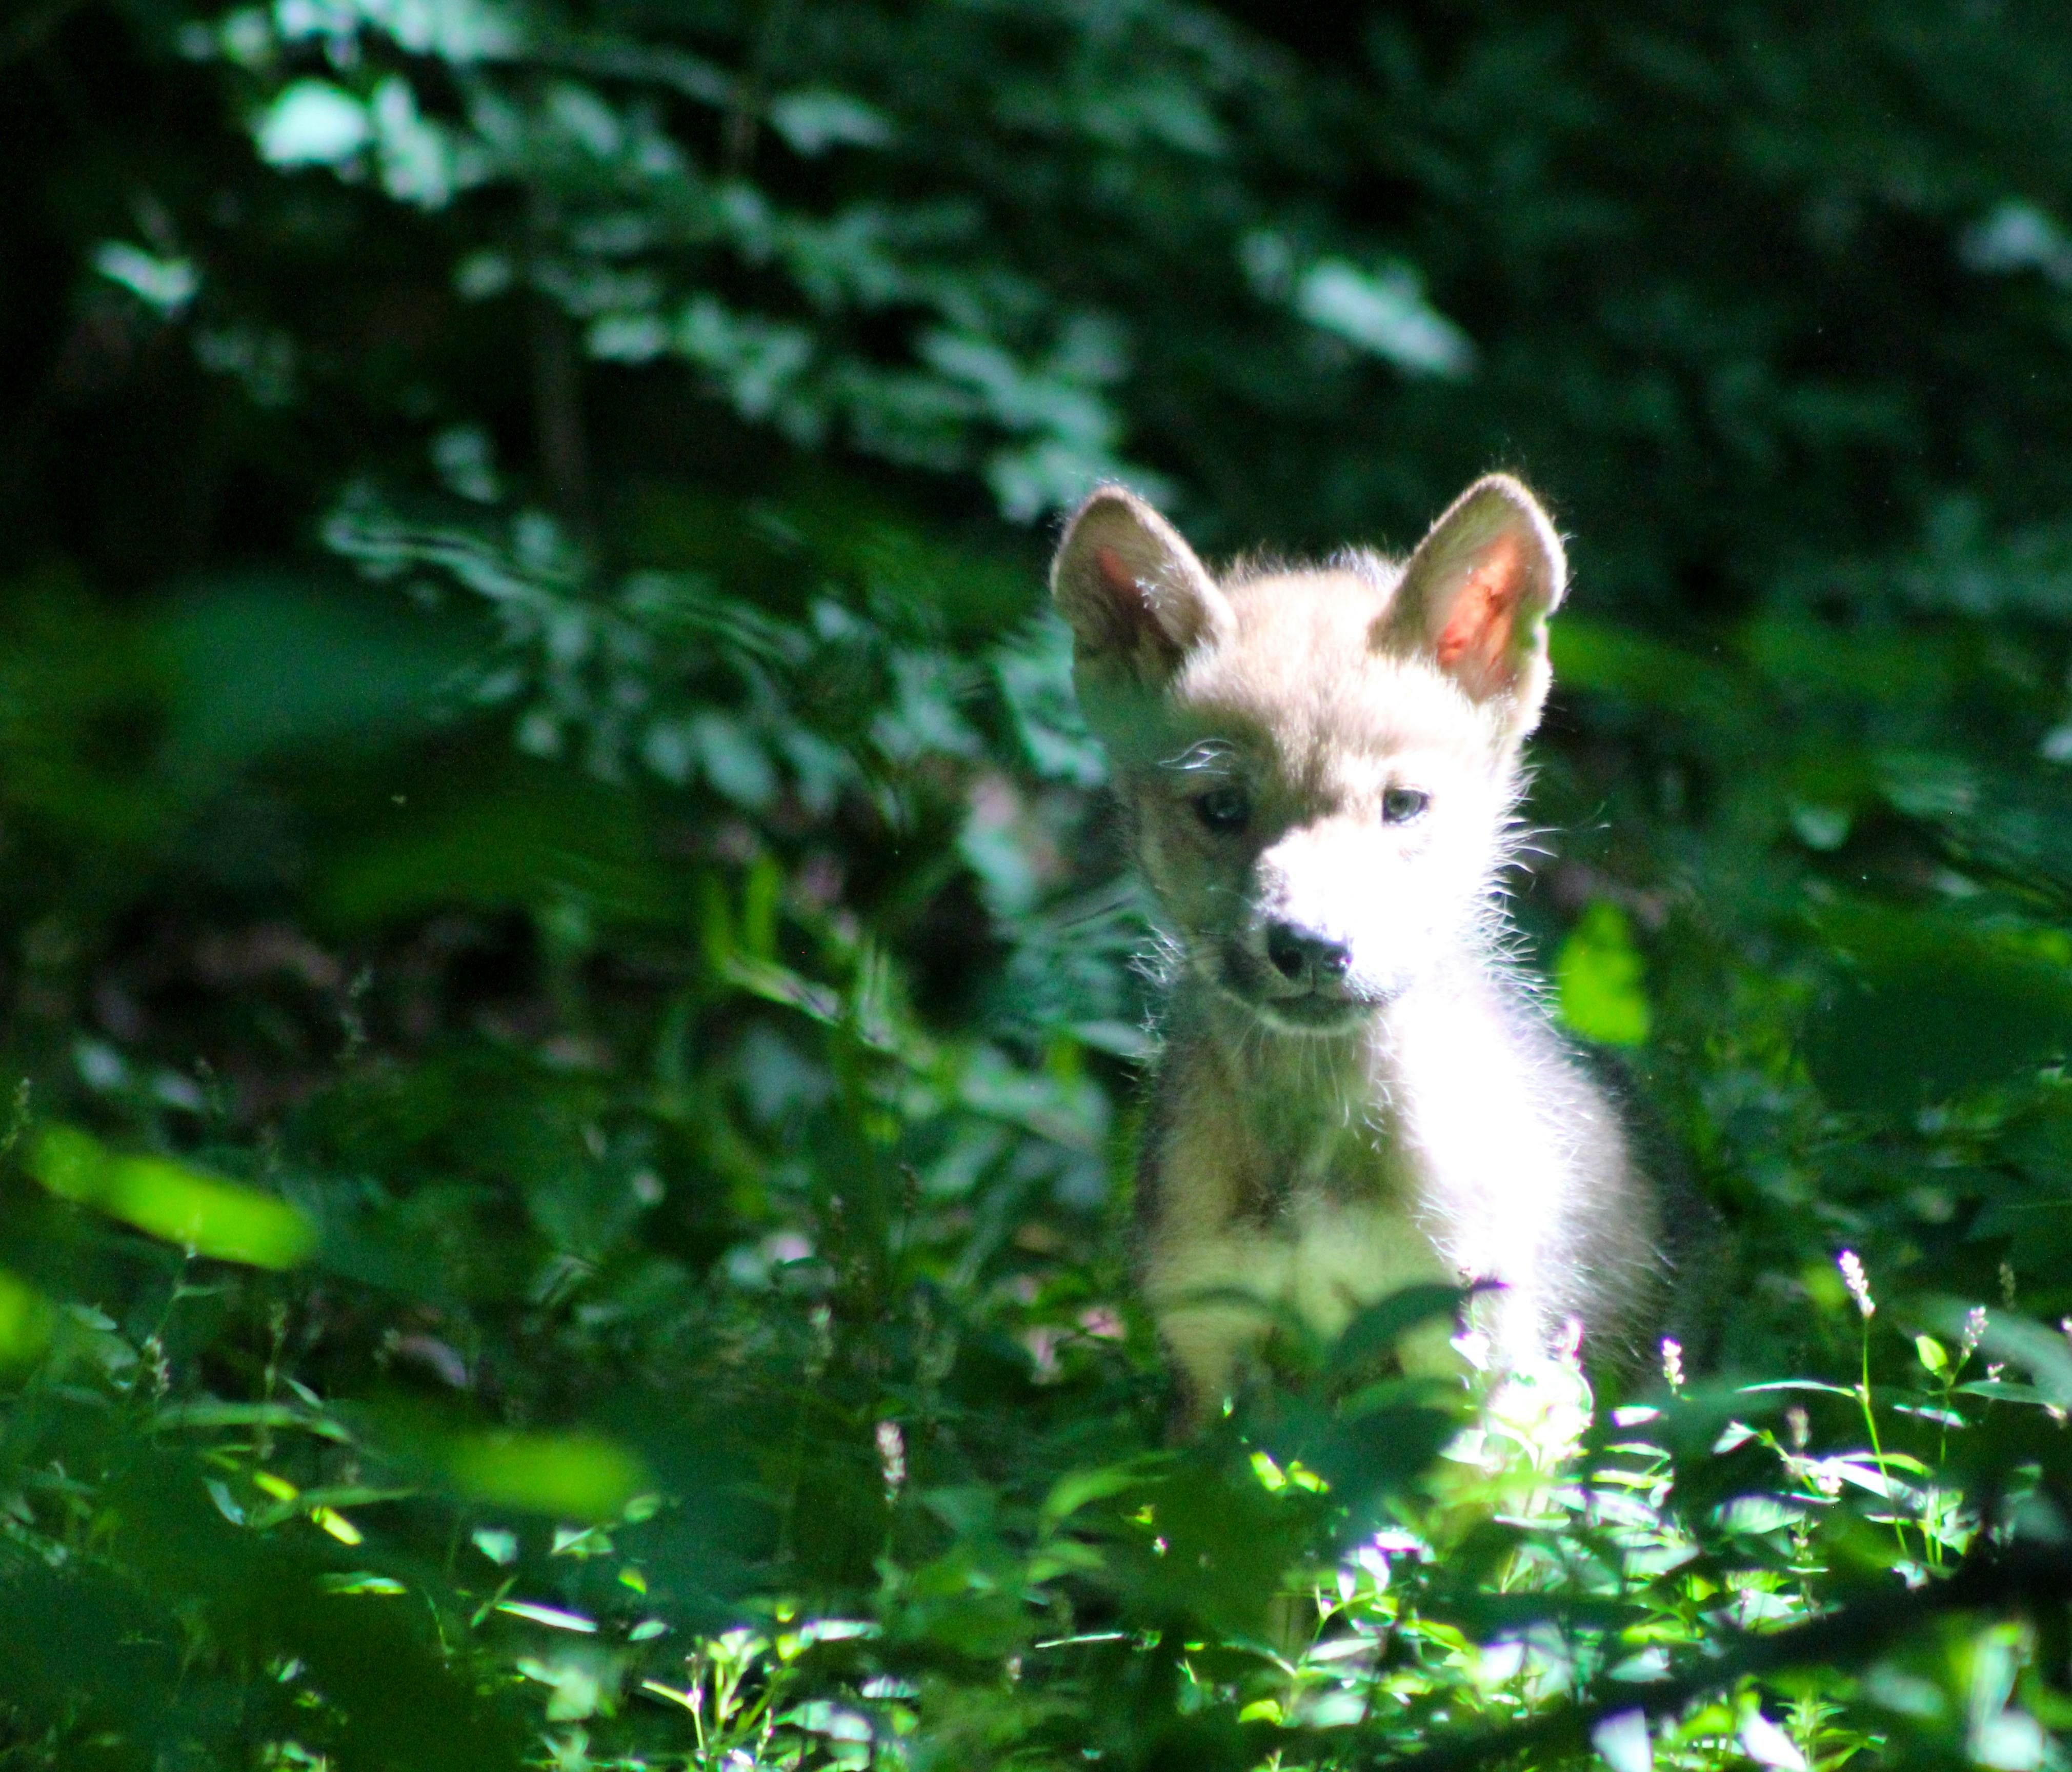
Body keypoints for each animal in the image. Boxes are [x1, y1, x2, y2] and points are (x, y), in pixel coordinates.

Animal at [1050, 474, 1665, 1419]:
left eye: (1403, 805)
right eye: (1222, 807)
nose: (1310, 947)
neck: (1312, 1160)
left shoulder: (1470, 1350)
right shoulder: (1209, 1344)